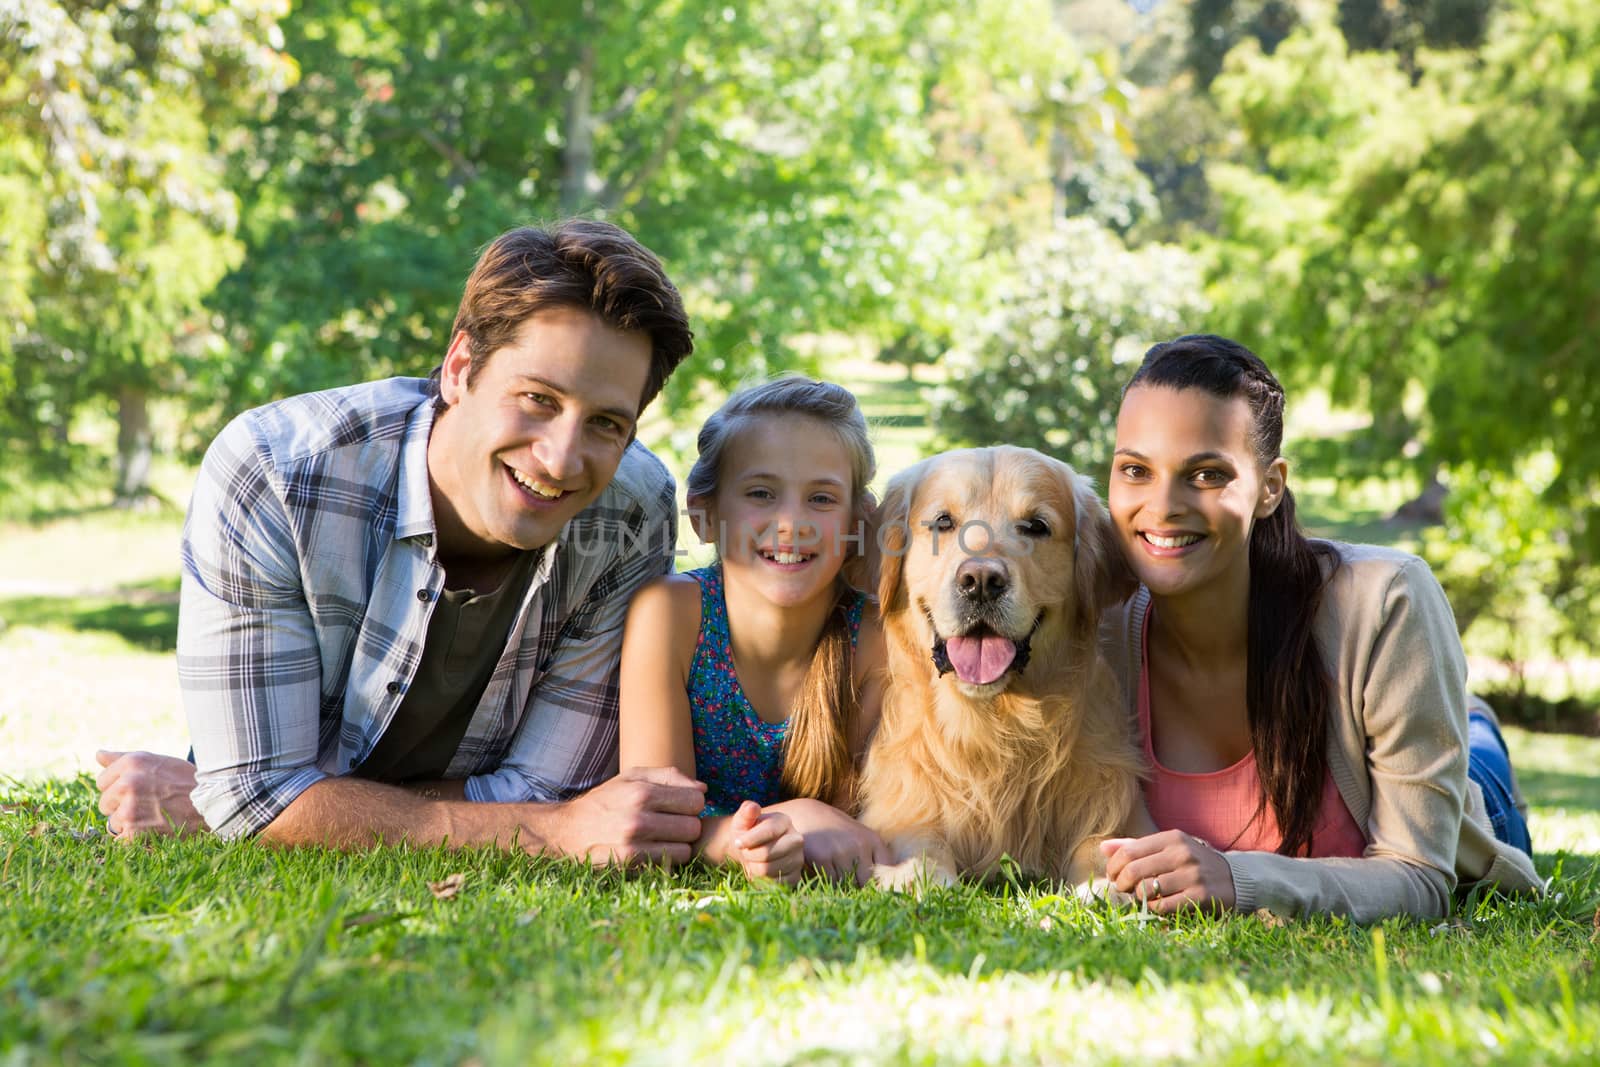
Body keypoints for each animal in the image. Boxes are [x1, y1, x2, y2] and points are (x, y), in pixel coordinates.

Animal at [857, 447, 1158, 895]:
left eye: (1036, 526)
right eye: (943, 522)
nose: (980, 581)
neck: (997, 723)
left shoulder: (1112, 794)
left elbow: (1103, 839)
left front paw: (1104, 880)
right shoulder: (898, 798)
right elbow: (919, 836)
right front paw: (917, 874)